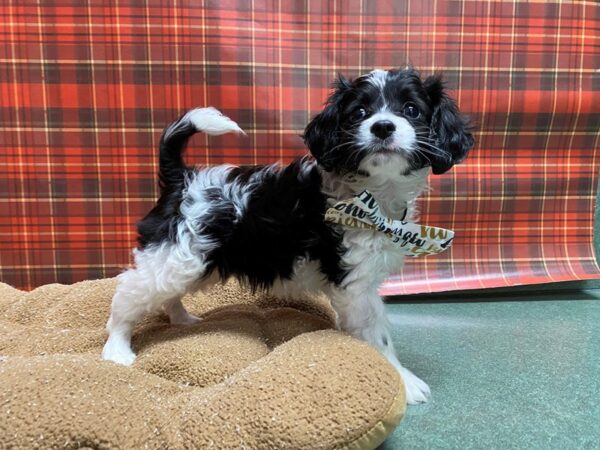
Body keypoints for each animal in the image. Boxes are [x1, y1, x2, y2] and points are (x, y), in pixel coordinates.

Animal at [102, 68, 474, 406]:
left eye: (411, 110)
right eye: (359, 113)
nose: (383, 126)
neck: (372, 193)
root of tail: (182, 177)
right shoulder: (355, 282)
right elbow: (376, 333)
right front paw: (403, 381)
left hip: (188, 260)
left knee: (165, 292)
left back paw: (180, 318)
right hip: (175, 255)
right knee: (126, 296)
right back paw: (117, 349)